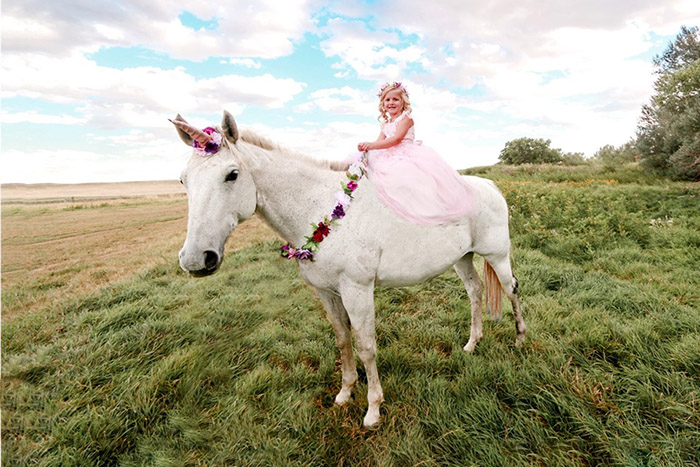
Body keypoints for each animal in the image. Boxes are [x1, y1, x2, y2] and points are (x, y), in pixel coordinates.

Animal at [174, 110, 524, 428]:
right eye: (183, 180)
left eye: (231, 175)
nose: (196, 259)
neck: (321, 210)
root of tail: (489, 185)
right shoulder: (326, 292)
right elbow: (343, 340)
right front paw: (345, 393)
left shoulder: (358, 291)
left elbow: (367, 347)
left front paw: (373, 410)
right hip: (462, 258)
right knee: (475, 292)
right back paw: (472, 344)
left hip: (497, 256)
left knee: (511, 289)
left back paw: (520, 339)